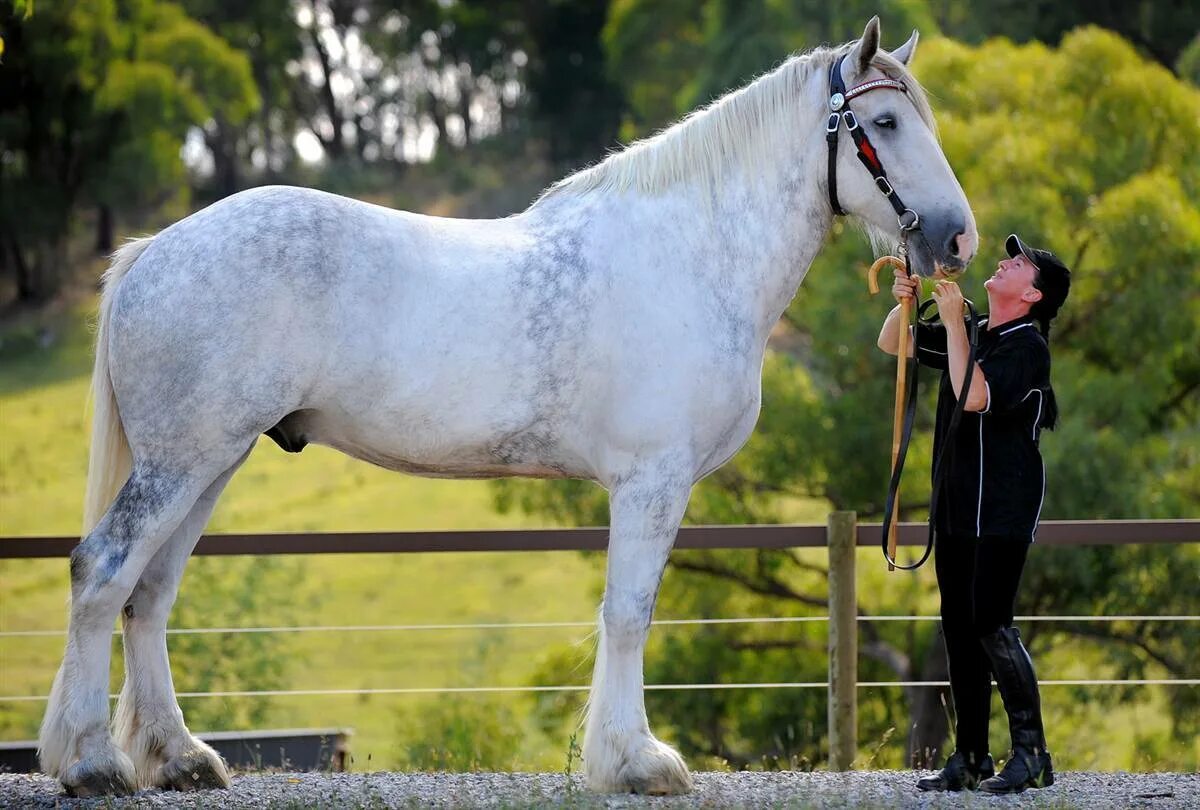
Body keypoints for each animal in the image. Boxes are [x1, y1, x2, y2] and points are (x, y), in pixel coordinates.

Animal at [39, 17, 974, 796]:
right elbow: (628, 615)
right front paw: (637, 763)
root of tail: (155, 249)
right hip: (183, 460)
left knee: (151, 593)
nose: (957, 237)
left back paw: (179, 759)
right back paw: (93, 764)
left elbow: (623, 615)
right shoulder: (652, 481)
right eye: (885, 124)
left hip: (212, 460)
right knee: (104, 571)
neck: (691, 253)